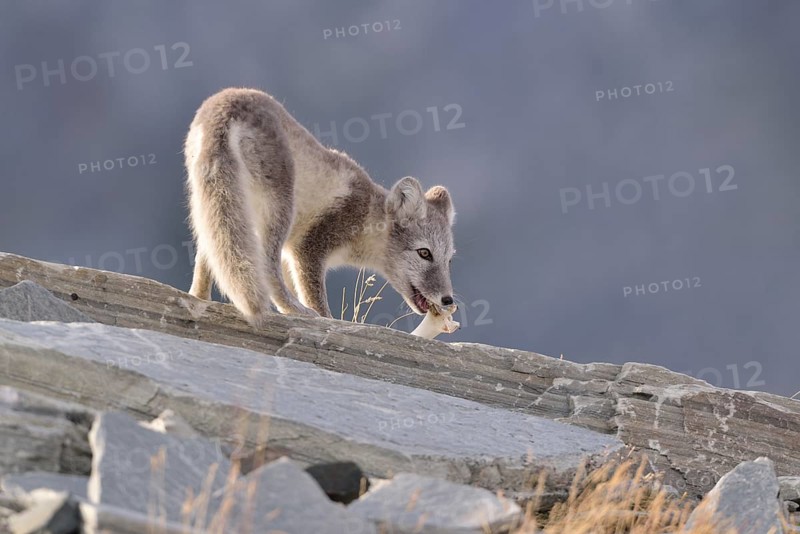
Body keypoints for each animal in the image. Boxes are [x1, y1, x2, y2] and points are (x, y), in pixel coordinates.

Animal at [183, 87, 457, 325]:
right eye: (424, 253)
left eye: (449, 260)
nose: (448, 300)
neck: (367, 216)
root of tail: (224, 104)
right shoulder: (308, 248)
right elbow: (318, 303)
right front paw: (325, 319)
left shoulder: (291, 255)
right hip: (279, 208)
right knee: (266, 269)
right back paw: (297, 311)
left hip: (214, 205)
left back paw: (198, 298)